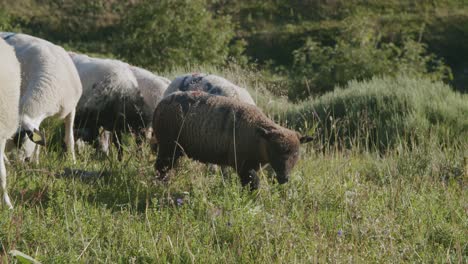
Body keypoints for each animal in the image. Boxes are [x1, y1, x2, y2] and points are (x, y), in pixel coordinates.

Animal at [152, 91, 310, 190]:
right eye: (275, 151)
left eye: (296, 154)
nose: (284, 178)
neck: (258, 138)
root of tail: (159, 104)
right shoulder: (242, 164)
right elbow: (253, 184)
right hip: (167, 146)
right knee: (161, 167)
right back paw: (161, 185)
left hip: (175, 149)